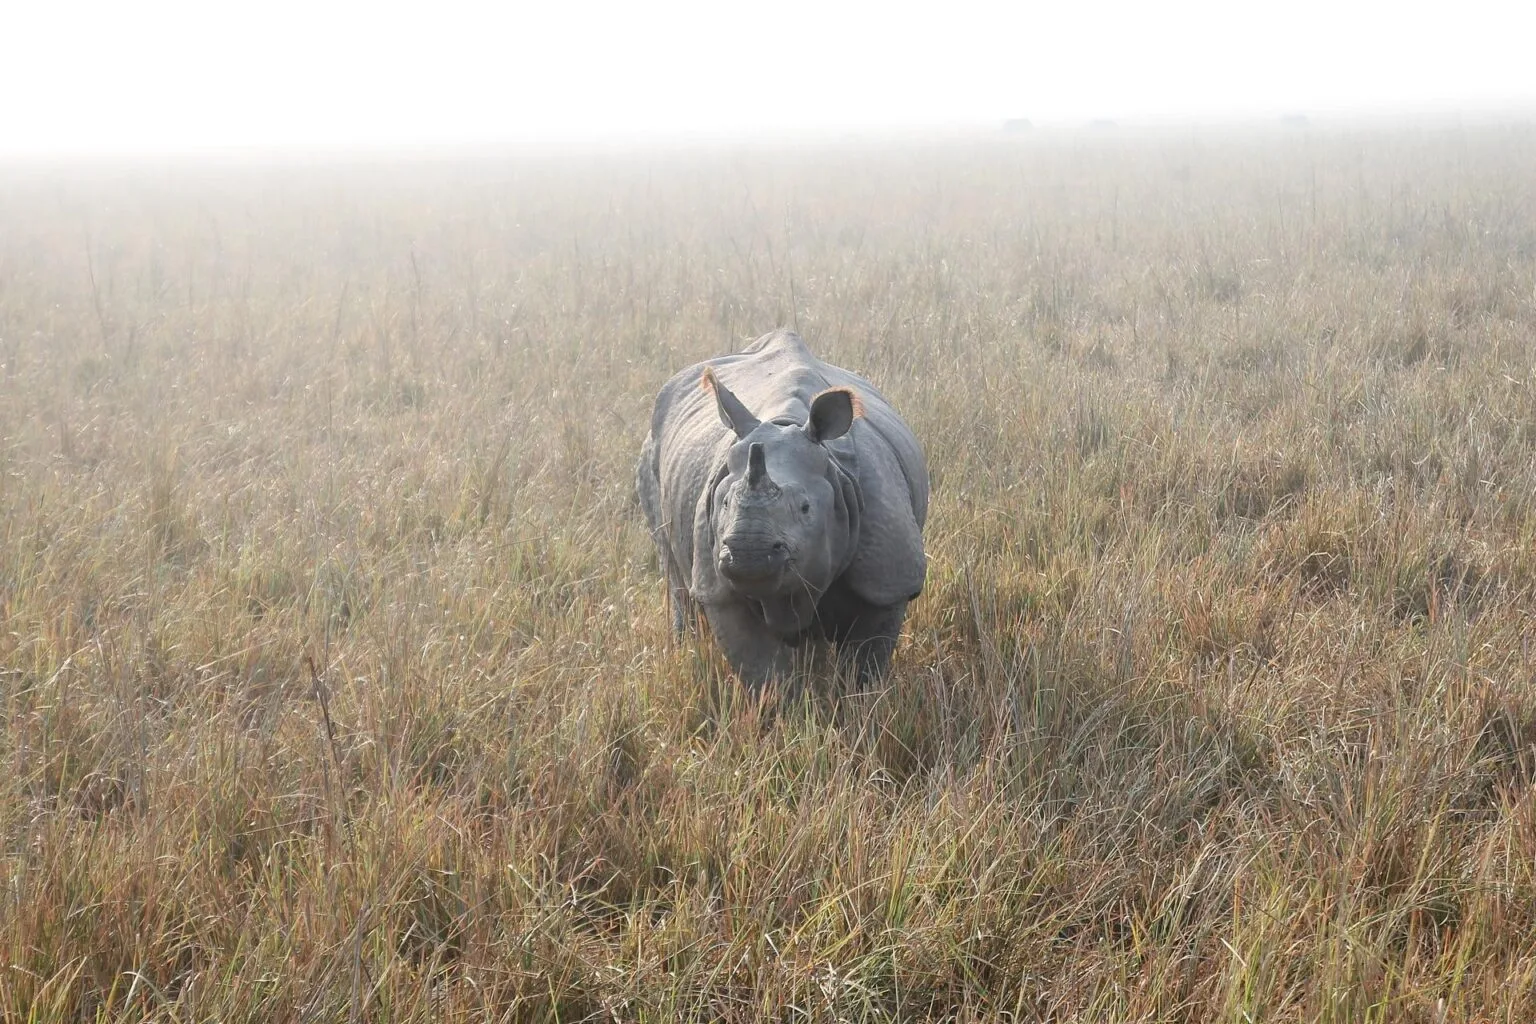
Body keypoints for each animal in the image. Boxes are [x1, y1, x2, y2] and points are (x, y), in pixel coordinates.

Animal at [635, 329, 928, 686]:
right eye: (725, 503)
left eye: (805, 508)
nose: (747, 553)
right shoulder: (718, 588)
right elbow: (762, 670)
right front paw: (782, 701)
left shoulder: (888, 580)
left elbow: (865, 663)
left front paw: (859, 699)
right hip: (650, 454)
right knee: (676, 578)